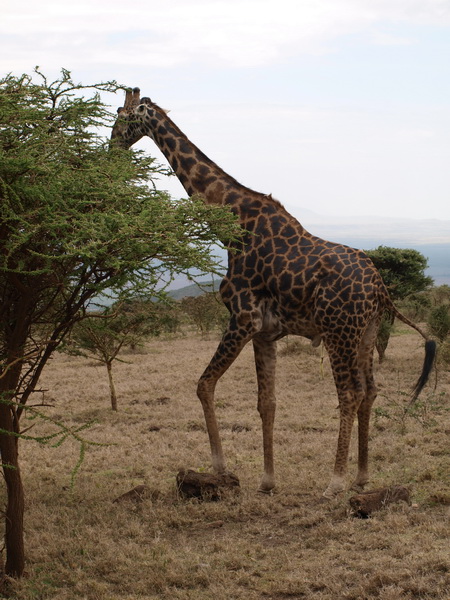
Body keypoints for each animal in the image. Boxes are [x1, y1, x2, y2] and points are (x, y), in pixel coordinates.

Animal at [111, 89, 436, 500]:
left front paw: (219, 468)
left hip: (338, 331)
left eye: (121, 117)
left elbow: (204, 385)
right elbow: (267, 403)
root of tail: (380, 287)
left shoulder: (241, 317)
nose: (112, 145)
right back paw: (362, 477)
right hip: (367, 332)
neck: (231, 221)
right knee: (370, 391)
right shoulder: (264, 331)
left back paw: (335, 481)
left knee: (349, 393)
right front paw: (267, 481)